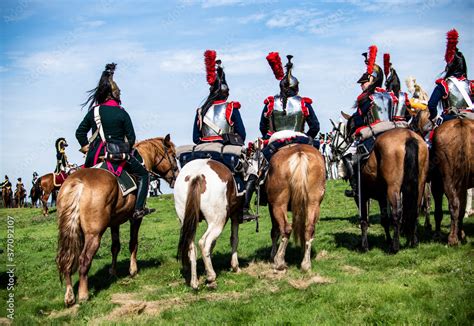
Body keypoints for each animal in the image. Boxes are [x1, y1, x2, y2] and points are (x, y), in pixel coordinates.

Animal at [56, 134, 179, 306]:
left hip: (71, 231)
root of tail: (78, 183)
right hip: (94, 234)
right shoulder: (135, 219)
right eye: (173, 156)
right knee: (84, 259)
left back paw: (69, 296)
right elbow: (133, 243)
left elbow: (115, 247)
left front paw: (112, 272)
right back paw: (83, 294)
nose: (176, 177)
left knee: (68, 257)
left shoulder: (114, 223)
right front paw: (133, 270)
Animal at [174, 158, 243, 290]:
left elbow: (213, 244)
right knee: (203, 243)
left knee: (192, 247)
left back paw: (194, 282)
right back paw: (211, 277)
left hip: (188, 223)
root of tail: (197, 174)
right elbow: (234, 239)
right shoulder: (234, 216)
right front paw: (235, 266)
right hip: (218, 222)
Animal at [262, 134, 326, 272]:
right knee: (309, 228)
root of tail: (299, 153)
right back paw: (306, 264)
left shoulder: (271, 206)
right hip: (313, 203)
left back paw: (279, 261)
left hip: (278, 204)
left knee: (285, 228)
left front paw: (272, 255)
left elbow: (274, 231)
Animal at [334, 114, 430, 252]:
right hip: (420, 185)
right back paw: (414, 241)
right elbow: (384, 219)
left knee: (397, 214)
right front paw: (387, 240)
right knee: (415, 210)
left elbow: (364, 220)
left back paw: (395, 247)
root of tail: (408, 136)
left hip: (393, 188)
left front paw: (364, 246)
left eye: (336, 132)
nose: (333, 150)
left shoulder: (361, 196)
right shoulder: (381, 196)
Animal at [412, 110, 472, 244]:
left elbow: (438, 211)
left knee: (454, 204)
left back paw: (452, 239)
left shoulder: (437, 184)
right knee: (460, 205)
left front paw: (437, 233)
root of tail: (460, 123)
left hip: (447, 180)